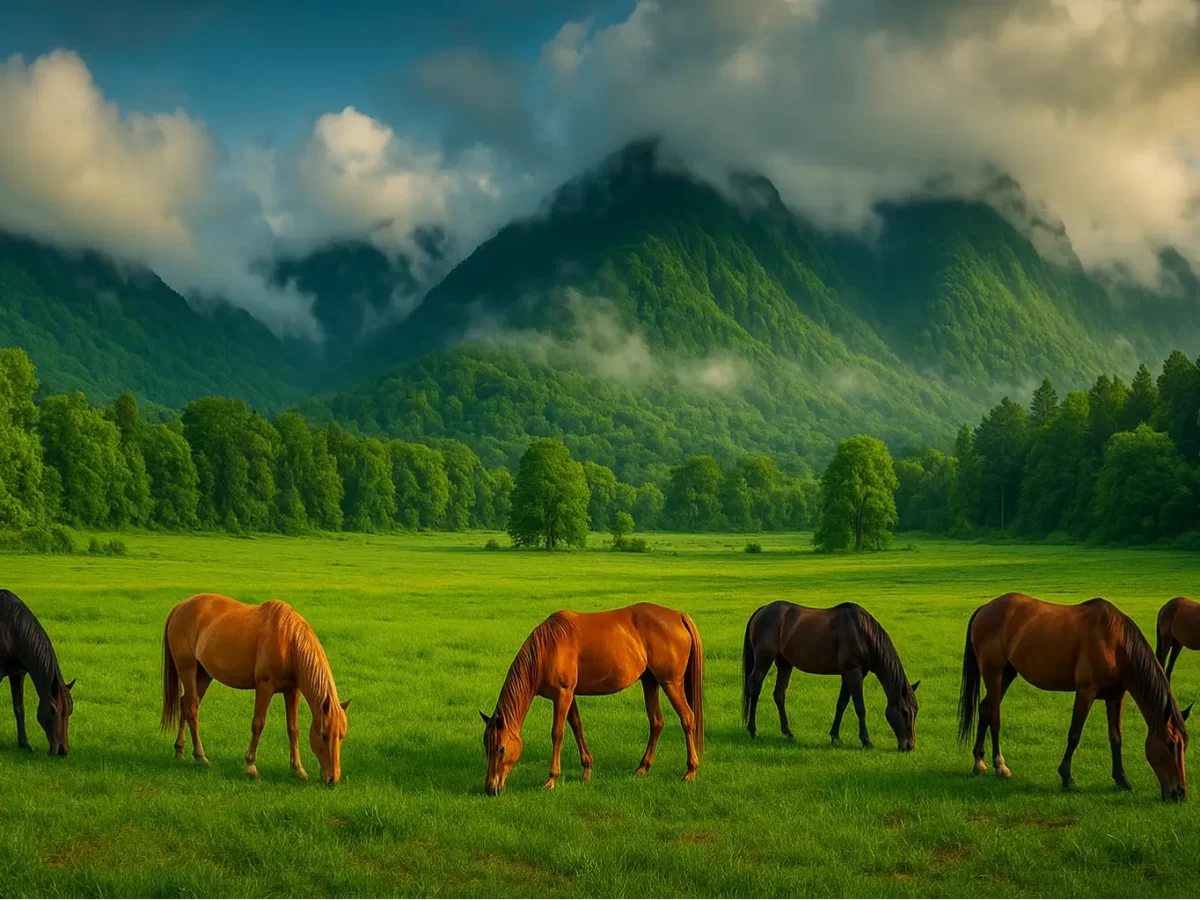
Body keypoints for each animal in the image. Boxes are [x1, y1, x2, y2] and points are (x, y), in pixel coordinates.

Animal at [0, 590, 74, 756]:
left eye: (70, 710)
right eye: (53, 710)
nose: (62, 750)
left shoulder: (17, 674)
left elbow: (19, 708)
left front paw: (25, 744)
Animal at [161, 594, 350, 785]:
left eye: (342, 736)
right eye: (323, 735)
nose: (333, 779)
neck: (288, 641)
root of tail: (179, 607)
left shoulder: (292, 690)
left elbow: (293, 729)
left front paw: (298, 769)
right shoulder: (264, 687)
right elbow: (258, 724)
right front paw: (250, 767)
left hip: (203, 673)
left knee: (185, 704)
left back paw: (180, 751)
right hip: (187, 669)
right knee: (191, 708)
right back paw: (200, 757)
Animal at [480, 602, 703, 796]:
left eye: (501, 749)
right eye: (486, 747)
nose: (491, 789)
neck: (548, 647)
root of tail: (679, 616)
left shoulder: (563, 694)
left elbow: (557, 733)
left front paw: (552, 779)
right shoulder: (568, 695)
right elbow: (577, 727)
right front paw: (587, 770)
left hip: (670, 682)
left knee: (687, 718)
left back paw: (690, 771)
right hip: (650, 681)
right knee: (656, 721)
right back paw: (643, 767)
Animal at [741, 601, 919, 751]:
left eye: (915, 711)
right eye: (904, 712)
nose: (909, 746)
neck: (862, 632)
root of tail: (762, 610)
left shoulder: (847, 674)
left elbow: (842, 704)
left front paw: (835, 737)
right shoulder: (854, 672)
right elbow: (860, 707)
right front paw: (866, 741)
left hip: (785, 664)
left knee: (779, 694)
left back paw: (788, 733)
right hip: (764, 658)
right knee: (754, 688)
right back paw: (753, 730)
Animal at [958, 592, 1191, 800]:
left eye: (1185, 745)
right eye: (1170, 744)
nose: (1180, 793)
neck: (1114, 642)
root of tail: (985, 608)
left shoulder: (1115, 696)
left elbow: (1116, 737)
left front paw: (1121, 779)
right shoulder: (1085, 692)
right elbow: (1074, 734)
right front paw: (1067, 778)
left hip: (1008, 672)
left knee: (985, 708)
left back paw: (979, 762)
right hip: (994, 672)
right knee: (994, 717)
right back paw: (1000, 765)